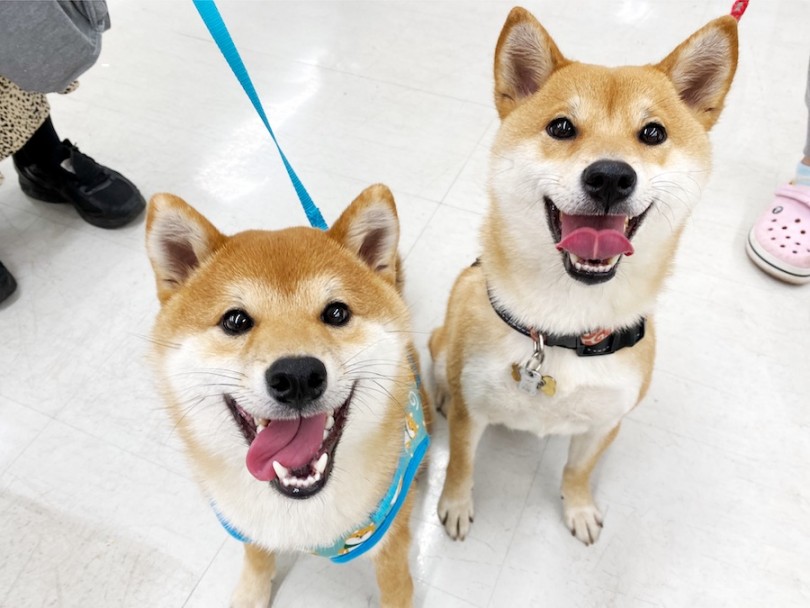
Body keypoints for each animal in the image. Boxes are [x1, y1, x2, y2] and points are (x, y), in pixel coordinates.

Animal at [148, 186, 432, 608]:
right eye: (235, 321)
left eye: (336, 313)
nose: (298, 376)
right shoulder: (246, 521)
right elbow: (255, 554)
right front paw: (251, 593)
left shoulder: (391, 540)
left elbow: (396, 588)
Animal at [432, 7, 736, 544]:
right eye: (561, 127)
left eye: (653, 133)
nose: (611, 176)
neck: (564, 325)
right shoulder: (473, 412)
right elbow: (461, 466)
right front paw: (455, 505)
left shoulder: (606, 422)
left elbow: (578, 470)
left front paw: (577, 508)